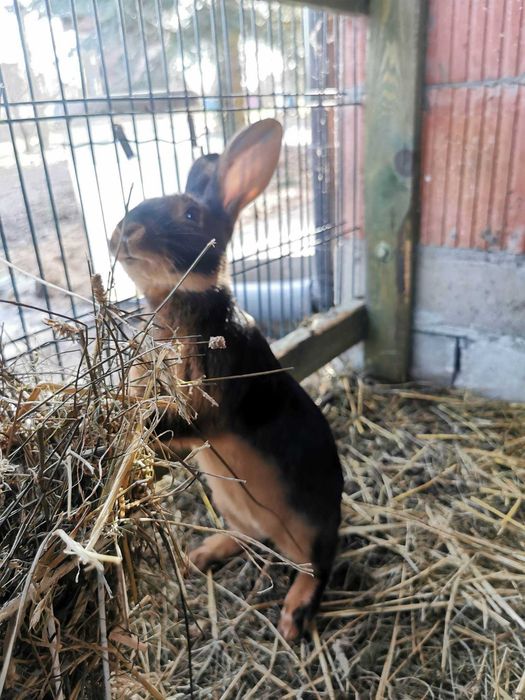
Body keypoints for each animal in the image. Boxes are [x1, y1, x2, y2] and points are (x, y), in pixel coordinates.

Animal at [109, 119, 344, 640]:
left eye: (190, 213)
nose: (125, 230)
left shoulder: (210, 401)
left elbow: (177, 421)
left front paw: (131, 431)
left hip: (308, 529)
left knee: (317, 568)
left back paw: (293, 618)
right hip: (231, 501)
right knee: (247, 537)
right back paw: (200, 556)